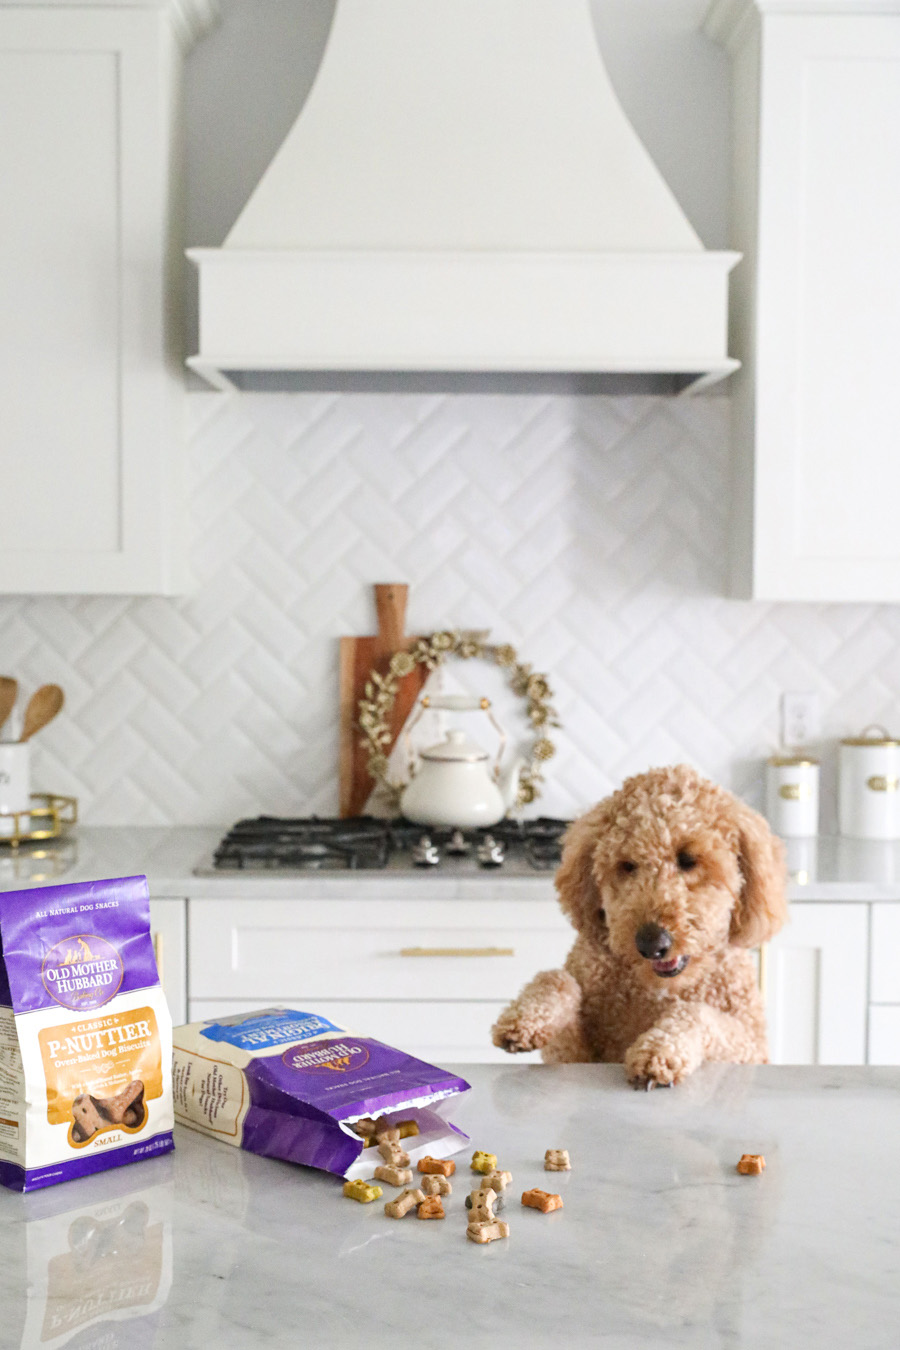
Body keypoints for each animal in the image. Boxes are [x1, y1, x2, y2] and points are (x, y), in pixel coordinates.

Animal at [493, 772, 788, 1085]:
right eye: (627, 865)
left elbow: (696, 1013)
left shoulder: (752, 1047)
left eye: (688, 860)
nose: (651, 944)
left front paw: (659, 1050)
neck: (660, 989)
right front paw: (524, 1017)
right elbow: (556, 979)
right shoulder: (572, 1054)